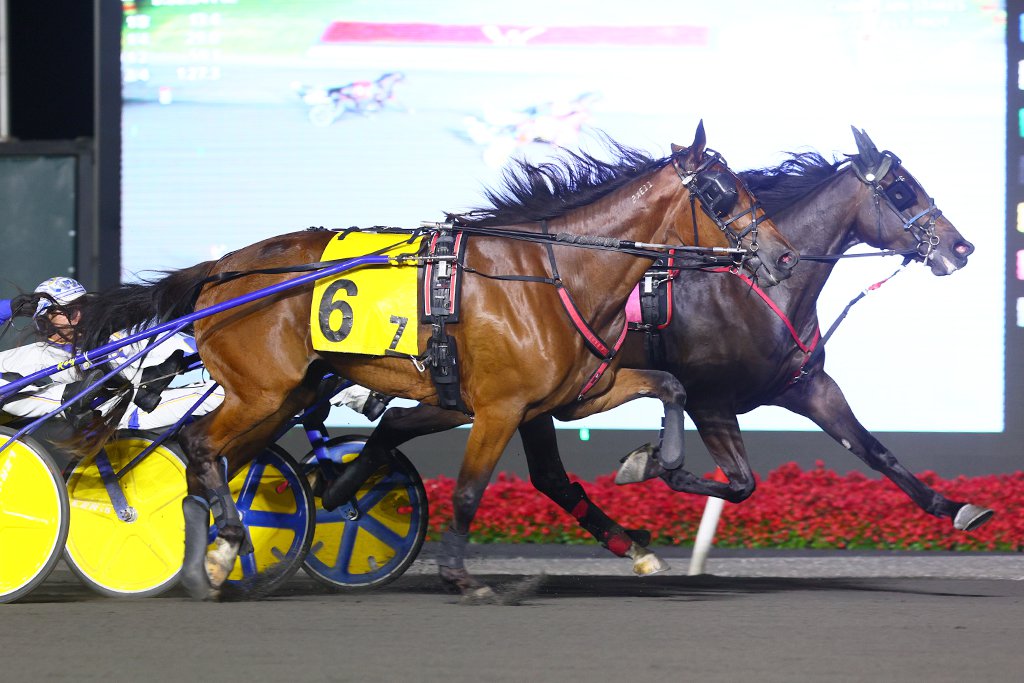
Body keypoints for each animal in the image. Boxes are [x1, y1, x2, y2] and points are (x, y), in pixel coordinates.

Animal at [77, 122, 798, 598]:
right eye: (723, 192)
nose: (783, 254)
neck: (552, 273)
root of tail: (220, 270)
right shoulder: (500, 406)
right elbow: (473, 487)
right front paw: (460, 573)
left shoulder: (564, 397)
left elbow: (665, 389)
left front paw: (654, 473)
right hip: (261, 391)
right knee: (201, 445)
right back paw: (222, 540)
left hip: (282, 395)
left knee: (216, 460)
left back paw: (215, 556)